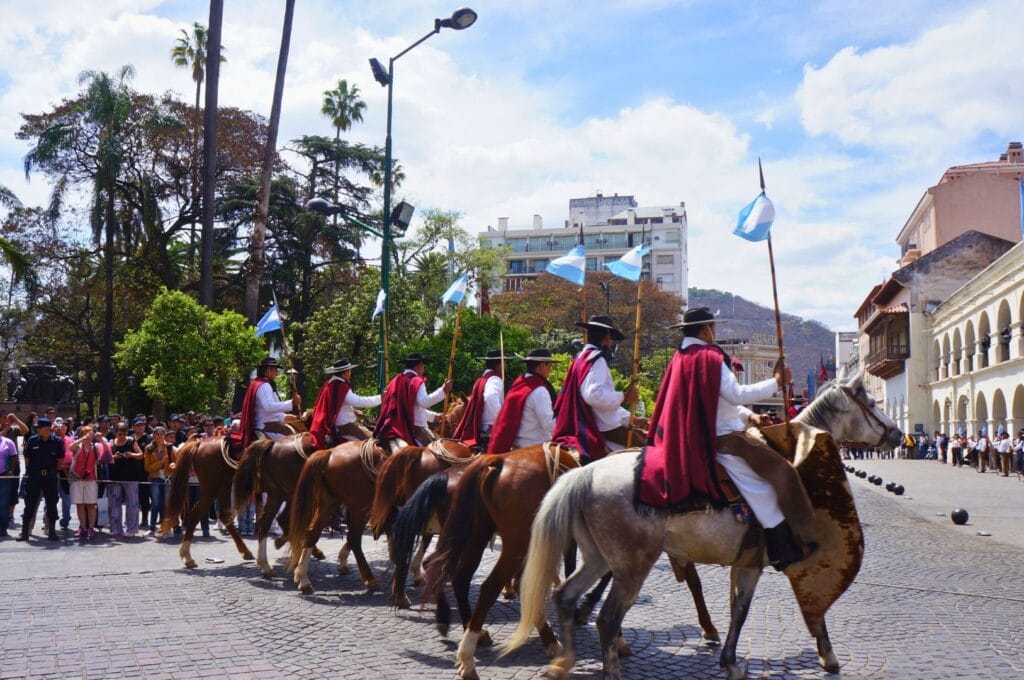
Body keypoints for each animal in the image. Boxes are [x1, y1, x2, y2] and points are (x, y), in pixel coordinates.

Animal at [286, 438, 389, 593]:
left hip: (330, 503)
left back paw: (303, 579)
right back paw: (370, 579)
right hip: (359, 506)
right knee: (354, 538)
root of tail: (330, 452)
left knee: (312, 533)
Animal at [499, 372, 901, 680]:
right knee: (608, 620)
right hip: (632, 566)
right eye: (872, 403)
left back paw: (564, 659)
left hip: (599, 557)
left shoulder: (746, 563)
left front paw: (730, 661)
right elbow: (789, 605)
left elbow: (738, 609)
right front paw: (827, 655)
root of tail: (585, 473)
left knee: (566, 595)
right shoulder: (768, 564)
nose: (898, 435)